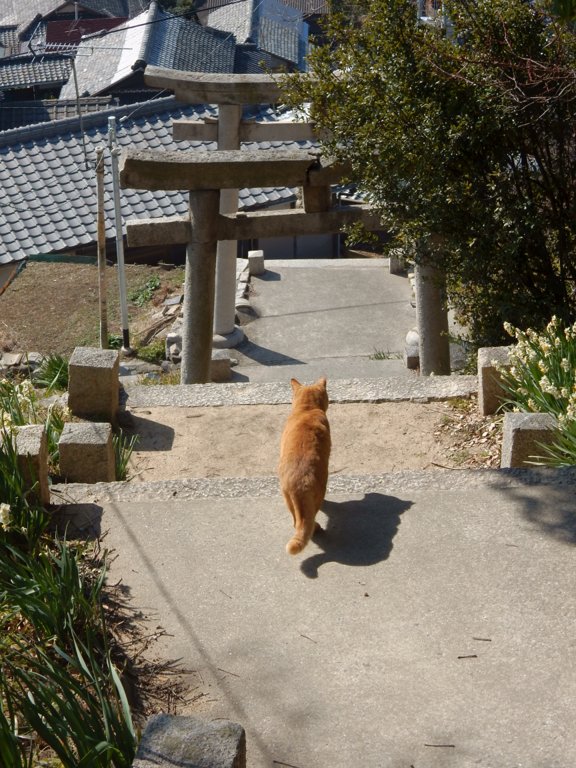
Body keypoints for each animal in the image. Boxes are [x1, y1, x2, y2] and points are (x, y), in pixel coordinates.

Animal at [278, 376, 330, 552]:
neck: (306, 410)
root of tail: (298, 484)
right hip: (319, 491)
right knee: (310, 519)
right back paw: (317, 528)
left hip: (287, 497)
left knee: (296, 523)